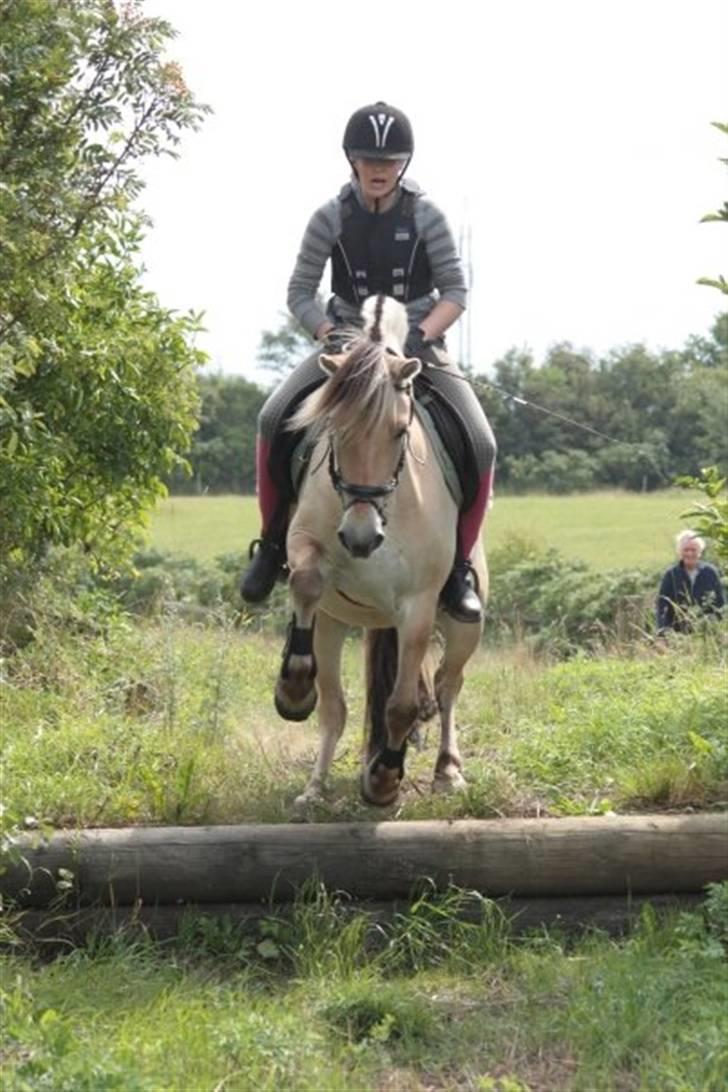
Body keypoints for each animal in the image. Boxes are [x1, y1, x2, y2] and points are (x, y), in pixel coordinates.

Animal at [276, 294, 486, 808]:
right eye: (333, 429)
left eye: (398, 431)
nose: (359, 537)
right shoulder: (305, 546)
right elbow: (305, 580)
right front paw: (292, 688)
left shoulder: (418, 604)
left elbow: (404, 705)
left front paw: (384, 781)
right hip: (332, 623)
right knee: (334, 707)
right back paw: (314, 787)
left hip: (465, 626)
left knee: (449, 685)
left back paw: (448, 771)